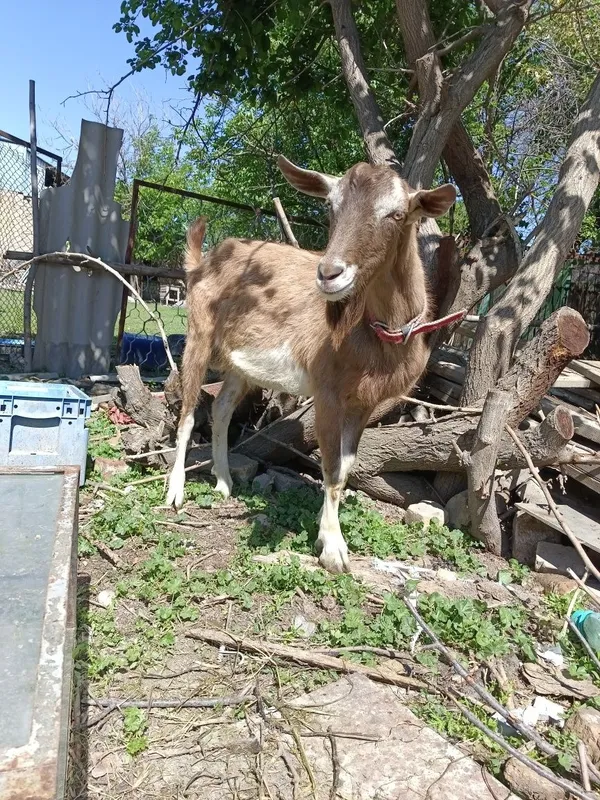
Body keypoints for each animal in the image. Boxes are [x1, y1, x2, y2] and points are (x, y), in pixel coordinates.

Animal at [166, 156, 458, 574]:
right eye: (330, 206)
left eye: (398, 214)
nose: (330, 273)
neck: (373, 332)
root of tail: (203, 261)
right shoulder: (327, 392)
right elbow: (331, 467)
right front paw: (333, 549)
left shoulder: (364, 402)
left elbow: (346, 467)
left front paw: (327, 532)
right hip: (199, 335)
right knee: (189, 412)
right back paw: (175, 492)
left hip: (240, 363)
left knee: (221, 410)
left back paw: (223, 481)